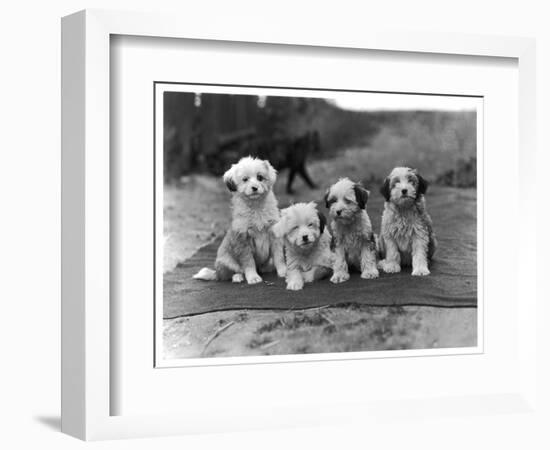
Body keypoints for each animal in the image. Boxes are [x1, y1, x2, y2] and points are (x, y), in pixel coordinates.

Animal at [194, 156, 286, 284]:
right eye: (245, 179)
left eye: (260, 177)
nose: (254, 188)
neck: (256, 207)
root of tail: (216, 272)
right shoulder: (243, 240)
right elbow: (248, 262)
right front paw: (253, 277)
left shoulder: (274, 234)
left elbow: (279, 256)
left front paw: (283, 271)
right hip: (226, 261)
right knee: (228, 274)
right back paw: (237, 277)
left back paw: (266, 268)